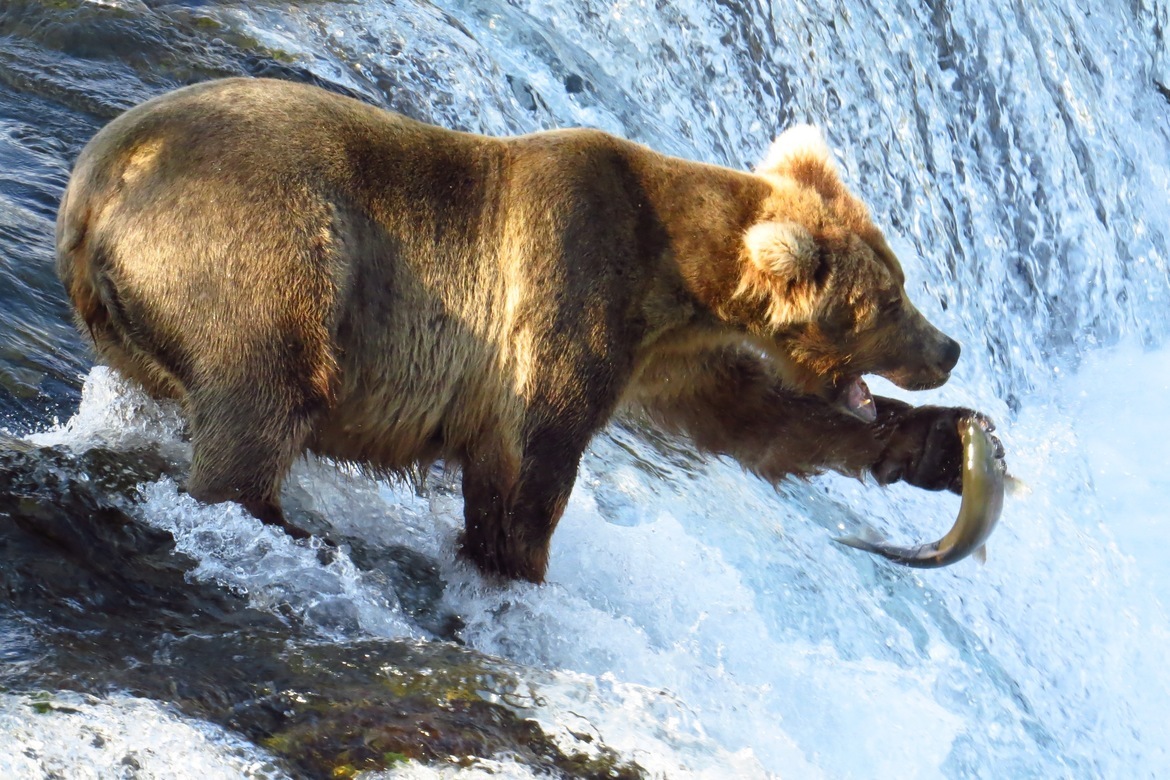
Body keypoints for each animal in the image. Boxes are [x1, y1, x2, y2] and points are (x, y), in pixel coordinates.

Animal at [56, 77, 998, 583]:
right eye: (888, 302)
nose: (949, 349)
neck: (679, 278)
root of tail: (100, 178)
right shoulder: (575, 280)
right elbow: (531, 459)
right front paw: (516, 562)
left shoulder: (664, 353)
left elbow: (750, 414)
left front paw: (942, 444)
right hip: (260, 245)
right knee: (271, 392)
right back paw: (271, 518)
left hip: (136, 318)